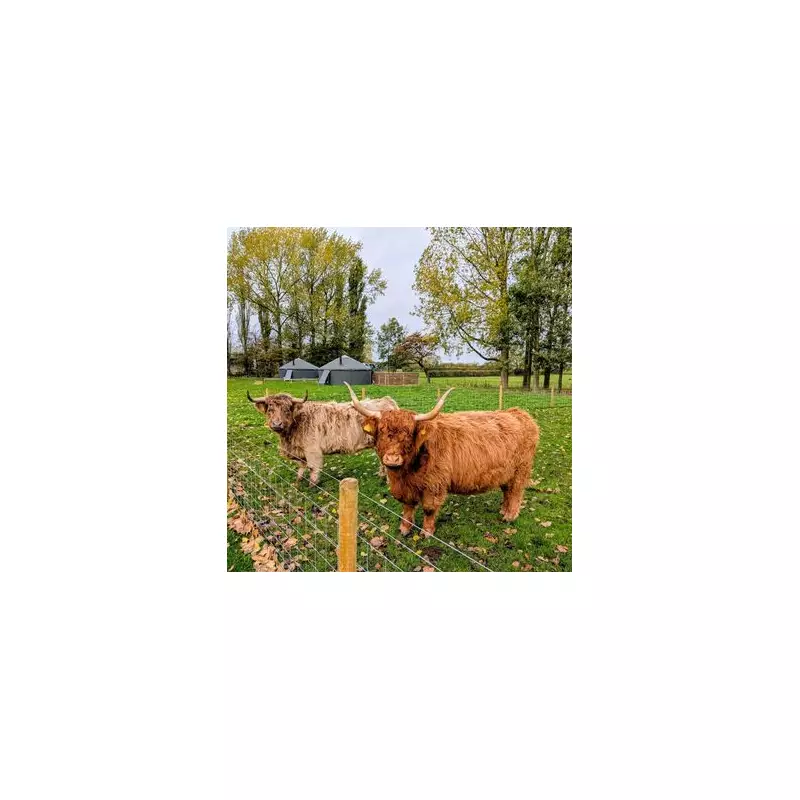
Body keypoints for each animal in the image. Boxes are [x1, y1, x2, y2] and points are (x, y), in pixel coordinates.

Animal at [246, 389, 399, 485]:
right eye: (270, 409)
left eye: (287, 409)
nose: (277, 424)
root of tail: (387, 400)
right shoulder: (300, 451)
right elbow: (301, 466)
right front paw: (298, 481)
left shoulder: (312, 450)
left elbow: (313, 468)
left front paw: (312, 485)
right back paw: (381, 475)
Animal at [344, 382, 540, 537]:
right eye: (382, 431)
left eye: (409, 433)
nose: (392, 459)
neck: (406, 472)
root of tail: (519, 413)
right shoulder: (405, 488)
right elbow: (407, 506)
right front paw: (405, 528)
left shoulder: (435, 484)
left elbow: (429, 509)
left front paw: (427, 532)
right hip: (506, 472)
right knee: (507, 490)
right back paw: (503, 510)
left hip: (521, 469)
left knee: (516, 491)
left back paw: (510, 516)